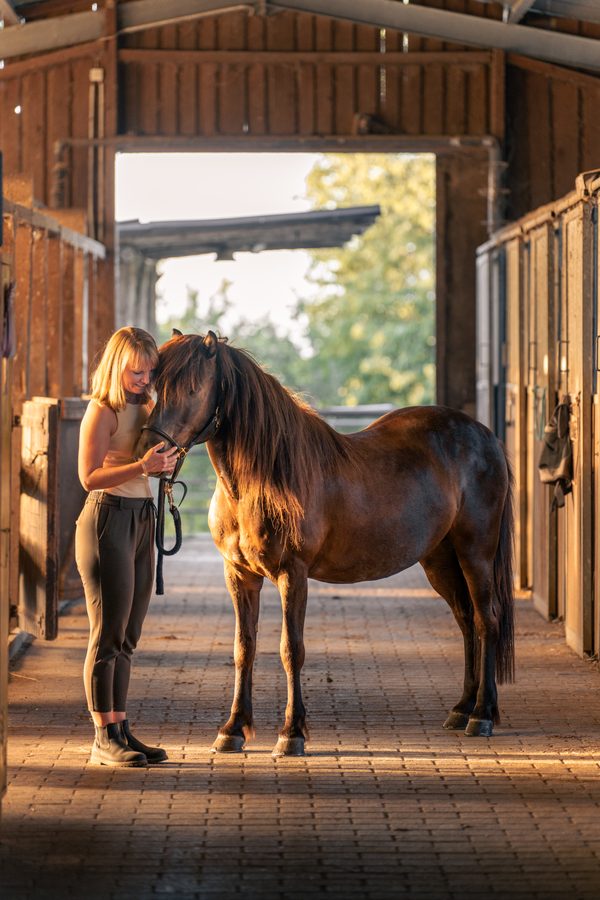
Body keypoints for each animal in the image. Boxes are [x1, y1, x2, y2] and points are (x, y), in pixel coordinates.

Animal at [137, 330, 515, 756]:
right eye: (155, 386)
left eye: (192, 387)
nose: (150, 452)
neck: (261, 481)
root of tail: (484, 436)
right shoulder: (239, 574)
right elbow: (243, 648)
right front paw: (233, 729)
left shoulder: (293, 574)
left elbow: (291, 649)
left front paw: (292, 734)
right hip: (440, 559)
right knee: (466, 620)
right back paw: (462, 709)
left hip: (475, 552)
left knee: (486, 619)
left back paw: (482, 715)